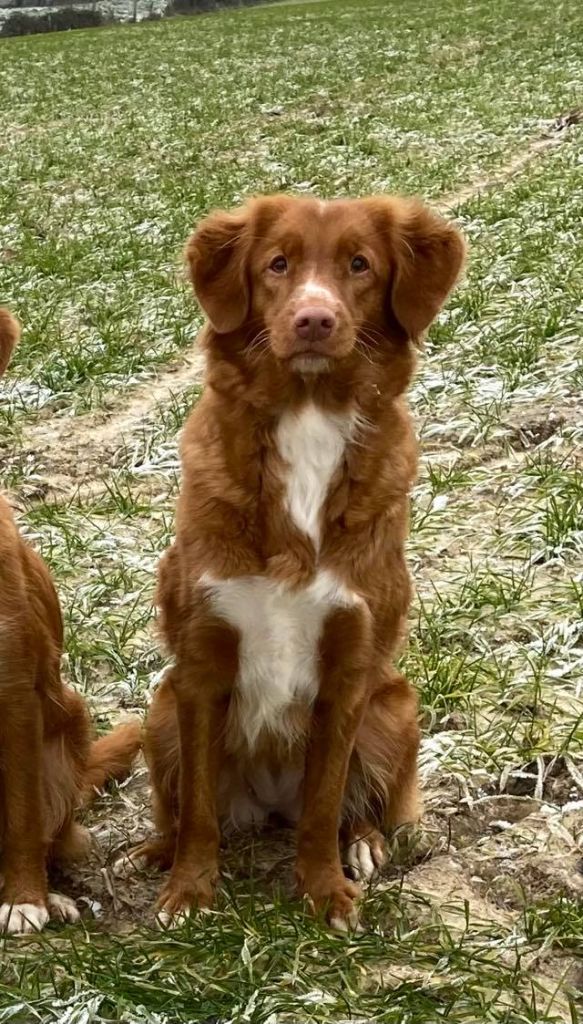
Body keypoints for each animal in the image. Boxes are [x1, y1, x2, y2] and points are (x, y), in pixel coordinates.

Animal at [117, 192, 463, 929]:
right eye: (277, 264)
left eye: (359, 265)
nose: (314, 319)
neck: (307, 416)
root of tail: (268, 803)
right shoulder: (200, 662)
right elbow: (198, 811)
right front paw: (189, 891)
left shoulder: (350, 671)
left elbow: (324, 803)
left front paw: (325, 892)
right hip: (159, 710)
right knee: (180, 804)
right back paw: (150, 852)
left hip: (394, 706)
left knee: (350, 804)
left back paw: (362, 845)